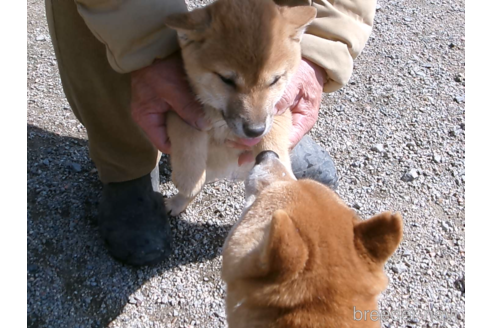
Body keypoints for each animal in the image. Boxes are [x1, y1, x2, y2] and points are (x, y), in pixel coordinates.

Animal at [161, 0, 316, 215]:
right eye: (227, 79)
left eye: (275, 80)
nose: (254, 131)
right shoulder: (179, 105)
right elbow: (188, 135)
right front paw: (189, 178)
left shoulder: (279, 111)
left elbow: (272, 139)